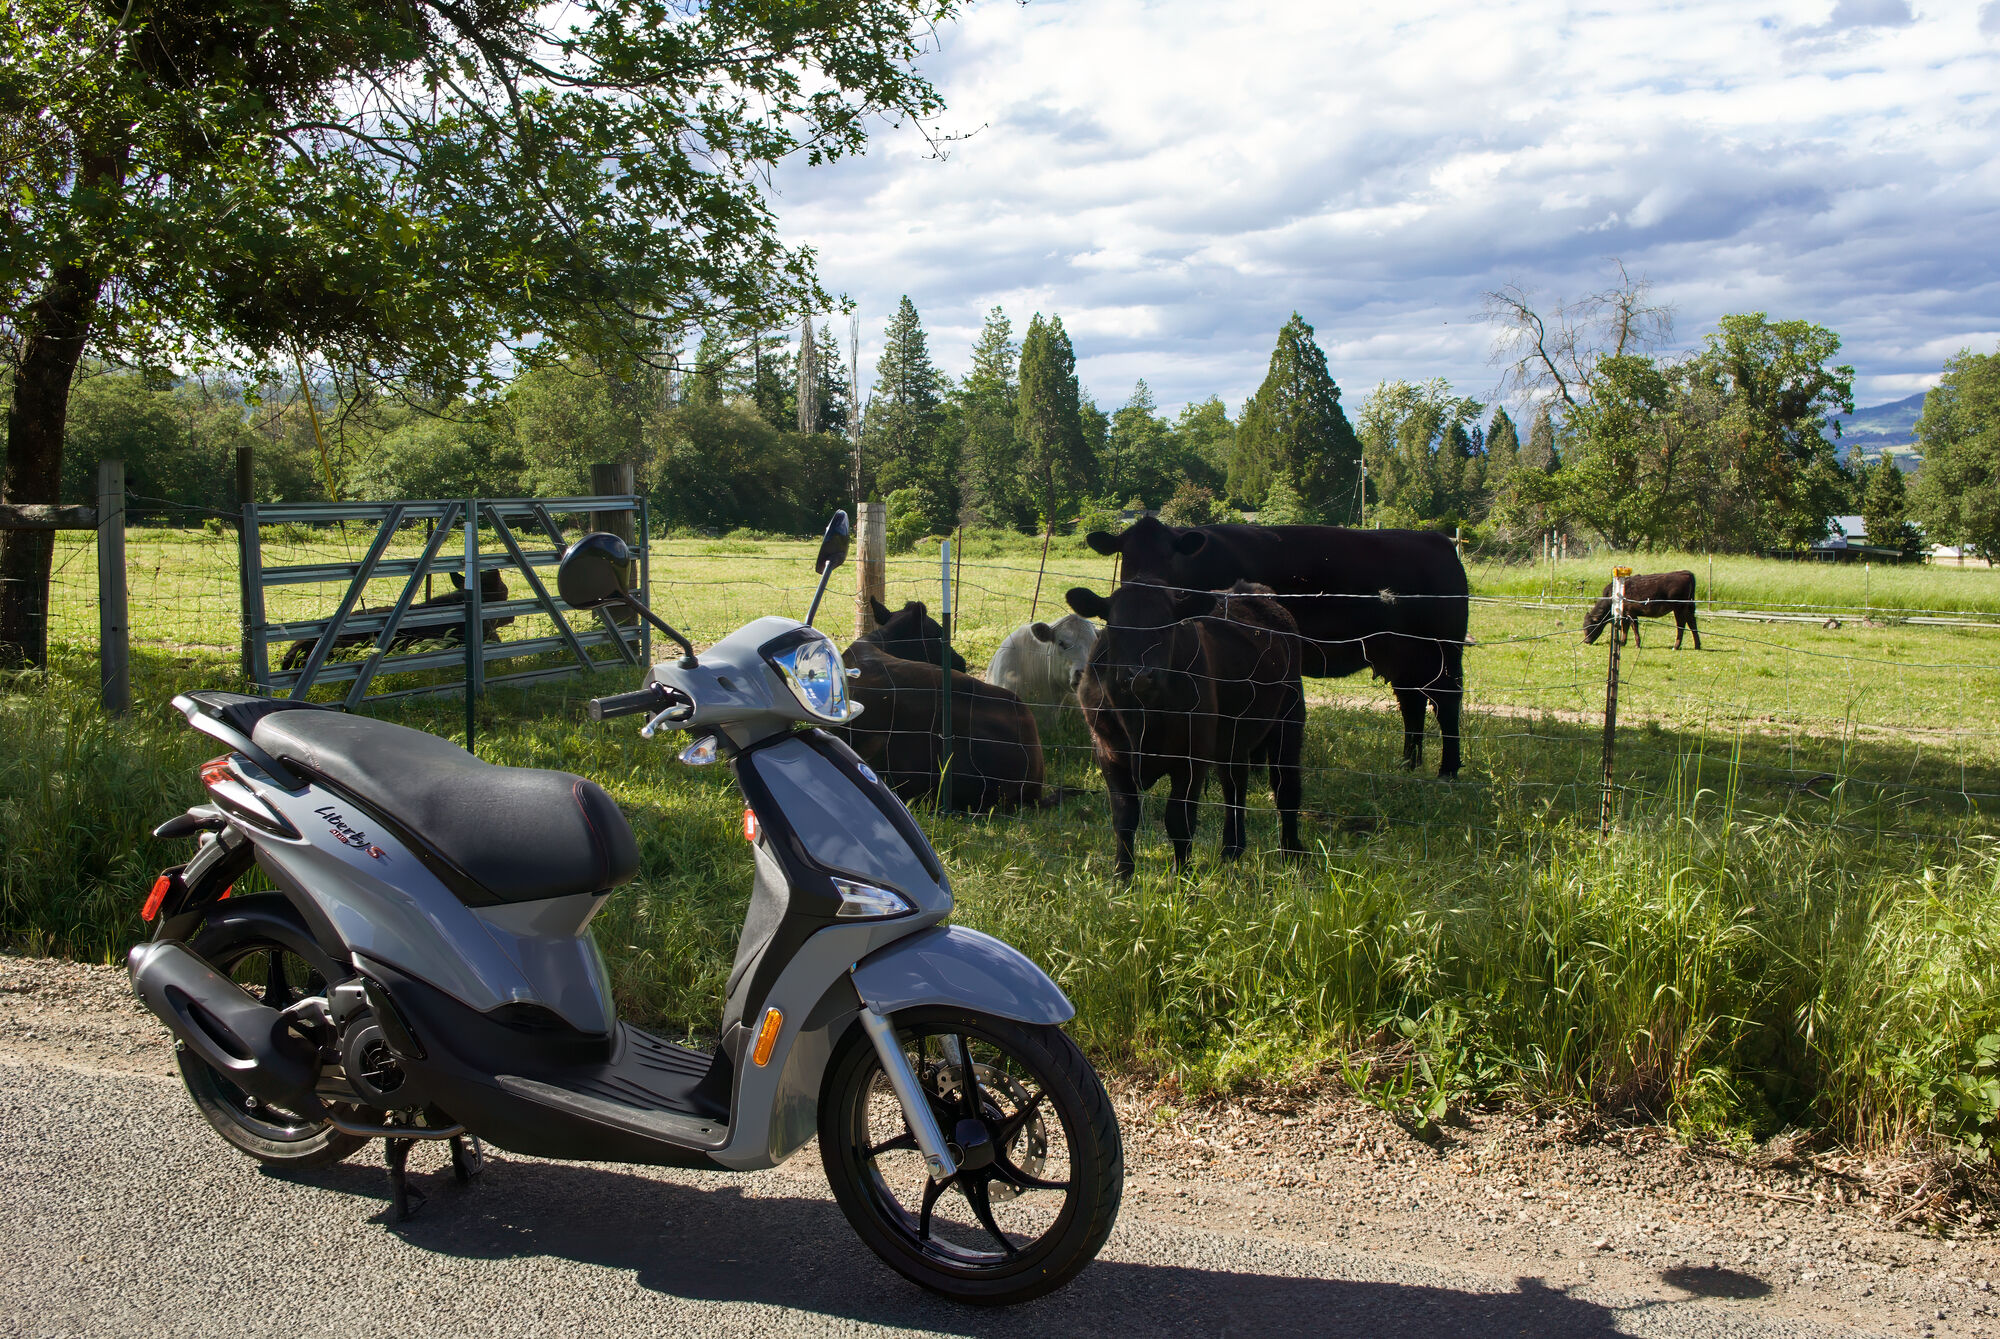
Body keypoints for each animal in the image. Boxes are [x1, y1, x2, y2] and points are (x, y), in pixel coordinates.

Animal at [1066, 580, 1305, 879]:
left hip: (1290, 717)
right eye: (1115, 627)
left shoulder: (1193, 756)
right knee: (1235, 785)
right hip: (1233, 739)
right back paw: (1232, 850)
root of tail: (1254, 590)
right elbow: (1124, 817)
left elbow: (1179, 820)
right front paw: (1122, 876)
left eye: (1167, 626)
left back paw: (1292, 854)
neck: (1142, 718)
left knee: (1286, 786)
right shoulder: (1108, 752)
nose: (1139, 674)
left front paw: (1183, 877)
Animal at [1088, 517, 1468, 777]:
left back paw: (1447, 771)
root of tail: (1439, 540)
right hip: (1403, 656)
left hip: (1442, 651)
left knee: (1446, 703)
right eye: (1126, 554)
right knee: (1413, 703)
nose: (1144, 584)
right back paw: (1408, 763)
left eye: (1170, 555)